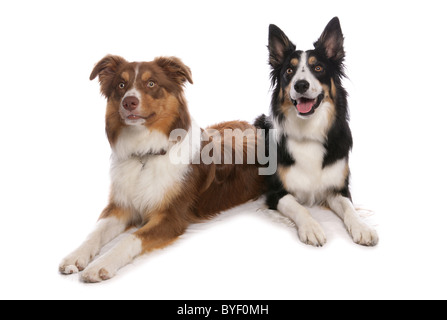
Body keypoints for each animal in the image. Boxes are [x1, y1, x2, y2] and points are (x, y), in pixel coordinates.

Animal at [258, 17, 380, 246]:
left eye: (318, 67)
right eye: (289, 71)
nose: (301, 85)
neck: (309, 131)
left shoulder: (338, 189)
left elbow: (350, 208)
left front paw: (362, 227)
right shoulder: (276, 193)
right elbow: (299, 208)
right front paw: (312, 228)